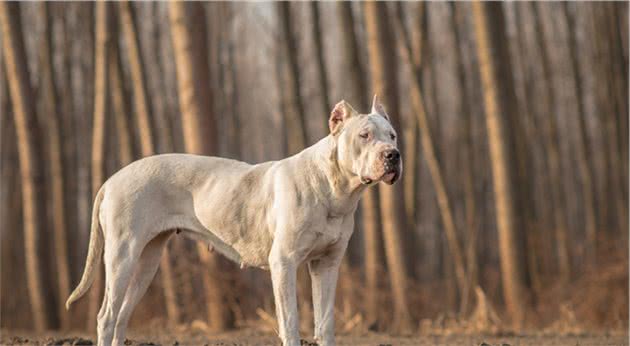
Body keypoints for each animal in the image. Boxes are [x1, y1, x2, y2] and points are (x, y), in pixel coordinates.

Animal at [68, 95, 404, 346]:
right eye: (364, 136)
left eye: (392, 135)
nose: (393, 155)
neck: (335, 188)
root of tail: (111, 180)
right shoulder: (284, 263)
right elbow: (291, 322)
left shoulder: (327, 265)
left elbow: (325, 325)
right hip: (122, 255)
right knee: (107, 316)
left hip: (147, 261)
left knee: (122, 316)